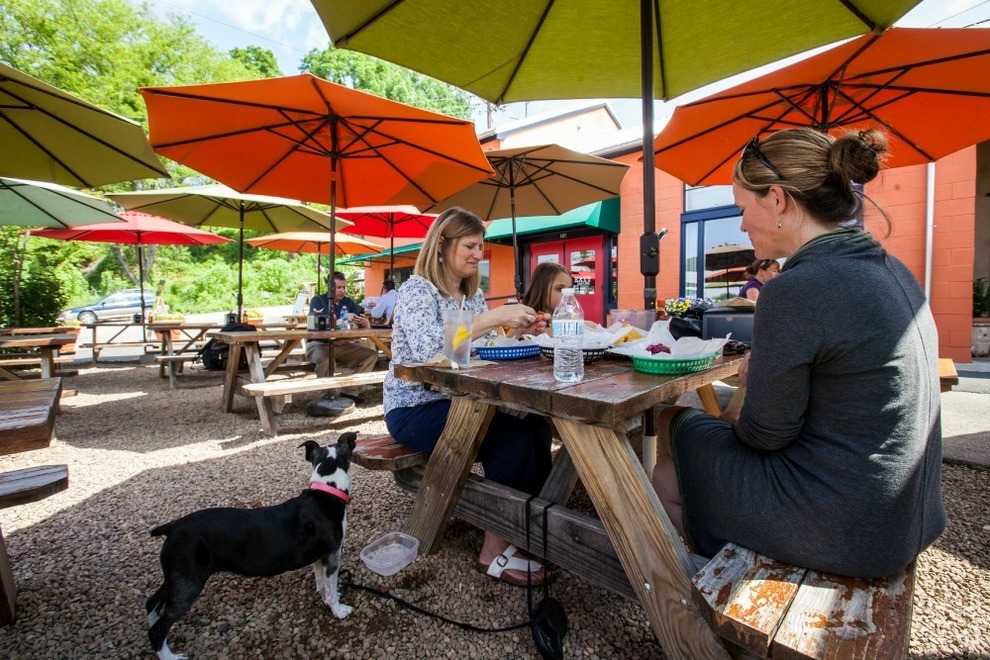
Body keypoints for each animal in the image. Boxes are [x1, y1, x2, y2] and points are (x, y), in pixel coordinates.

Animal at [141, 434, 354, 660]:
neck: (326, 490)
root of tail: (173, 526)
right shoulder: (333, 553)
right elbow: (330, 584)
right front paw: (338, 610)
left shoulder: (319, 557)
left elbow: (322, 584)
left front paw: (327, 600)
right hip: (188, 584)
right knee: (158, 630)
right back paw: (170, 655)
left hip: (176, 577)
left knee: (152, 604)